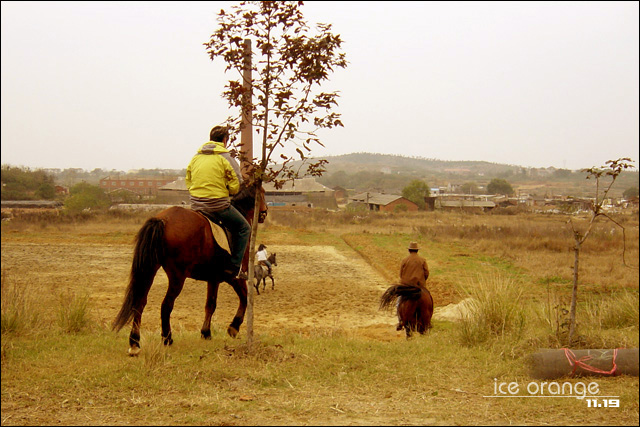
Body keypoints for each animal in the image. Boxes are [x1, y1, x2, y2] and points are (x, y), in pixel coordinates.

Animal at [111, 182, 266, 356]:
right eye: (263, 192)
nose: (264, 212)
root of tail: (162, 219)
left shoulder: (213, 279)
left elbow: (211, 304)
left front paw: (206, 332)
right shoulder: (234, 277)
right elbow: (245, 298)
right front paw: (234, 327)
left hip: (150, 271)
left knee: (139, 303)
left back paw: (135, 342)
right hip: (177, 277)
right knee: (166, 305)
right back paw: (167, 338)